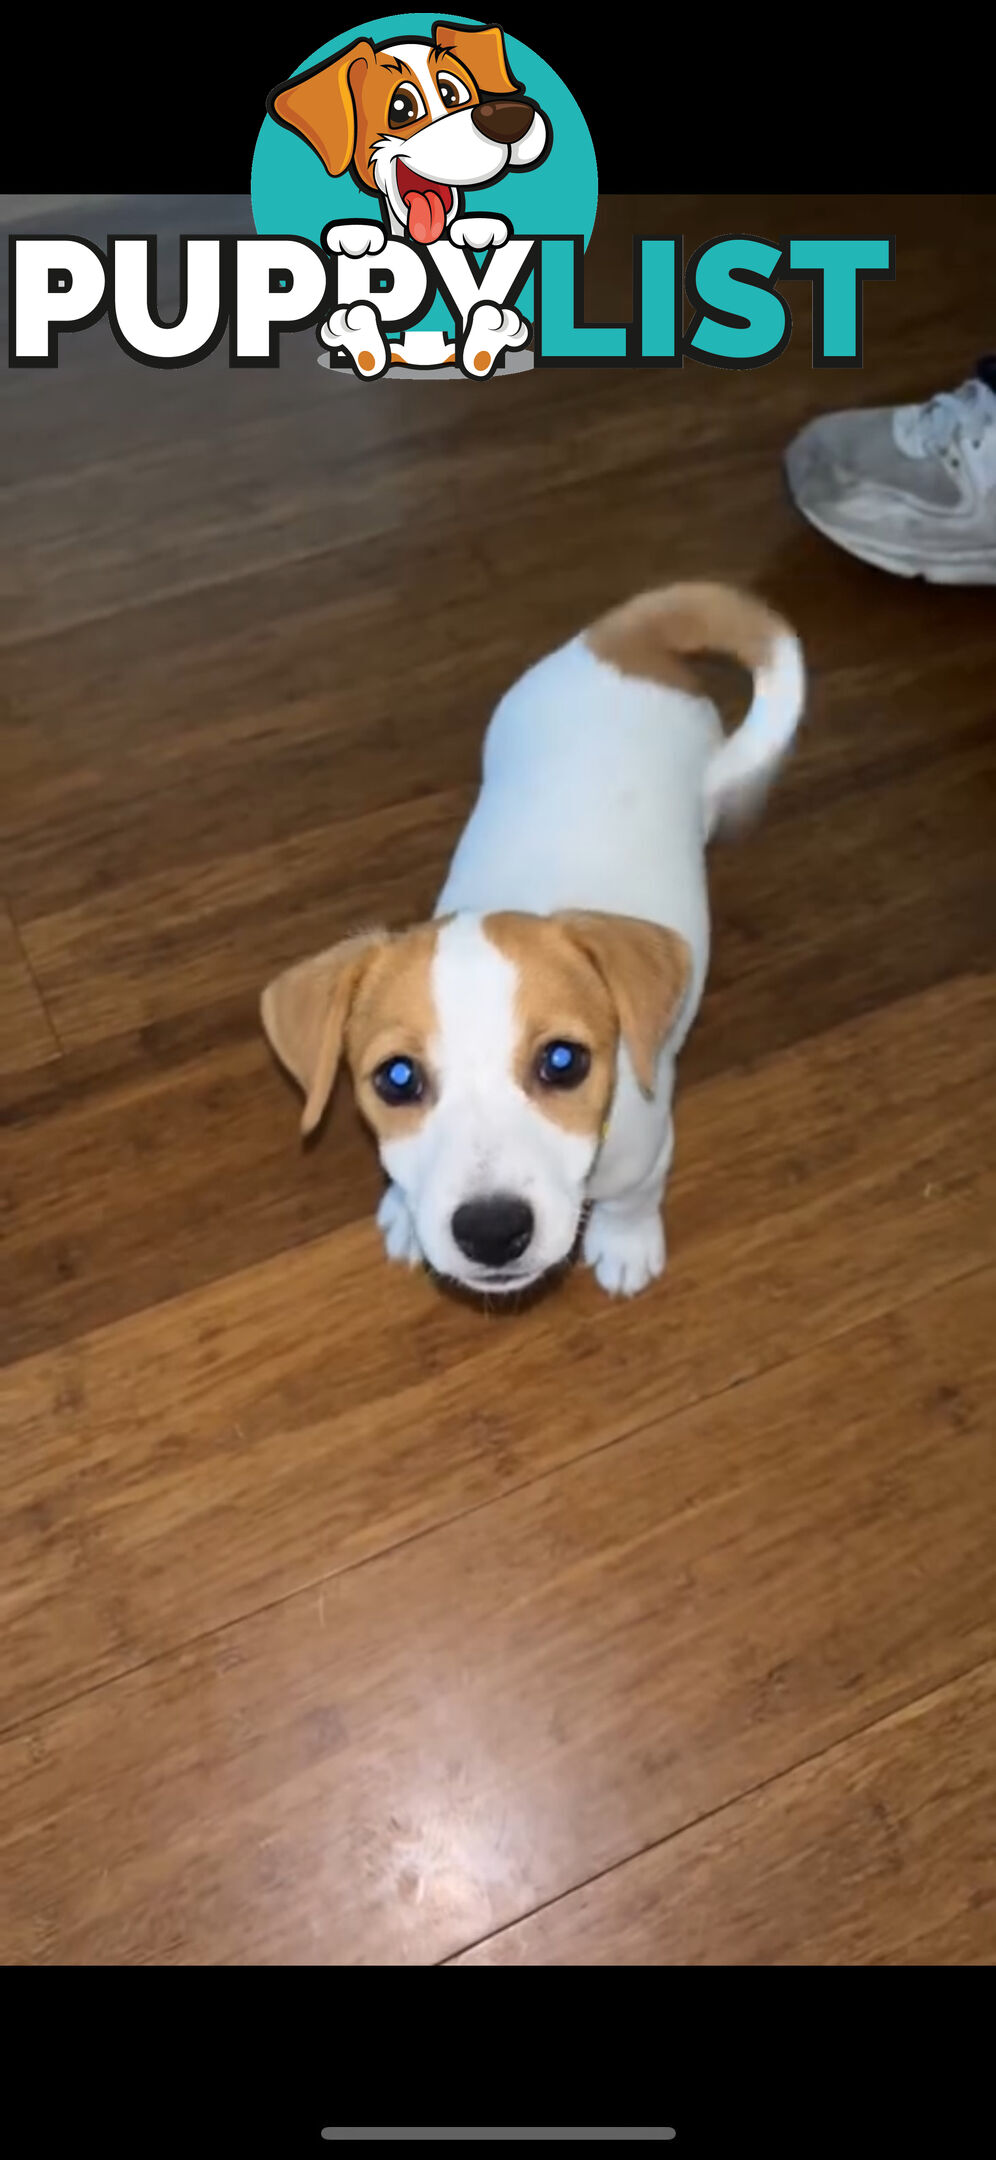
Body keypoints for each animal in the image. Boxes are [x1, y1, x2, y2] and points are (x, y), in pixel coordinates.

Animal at [260, 583, 803, 1296]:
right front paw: (405, 1210)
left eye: (563, 1062)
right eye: (397, 1078)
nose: (492, 1232)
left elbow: (635, 1199)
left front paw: (625, 1242)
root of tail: (622, 640)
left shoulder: (648, 1149)